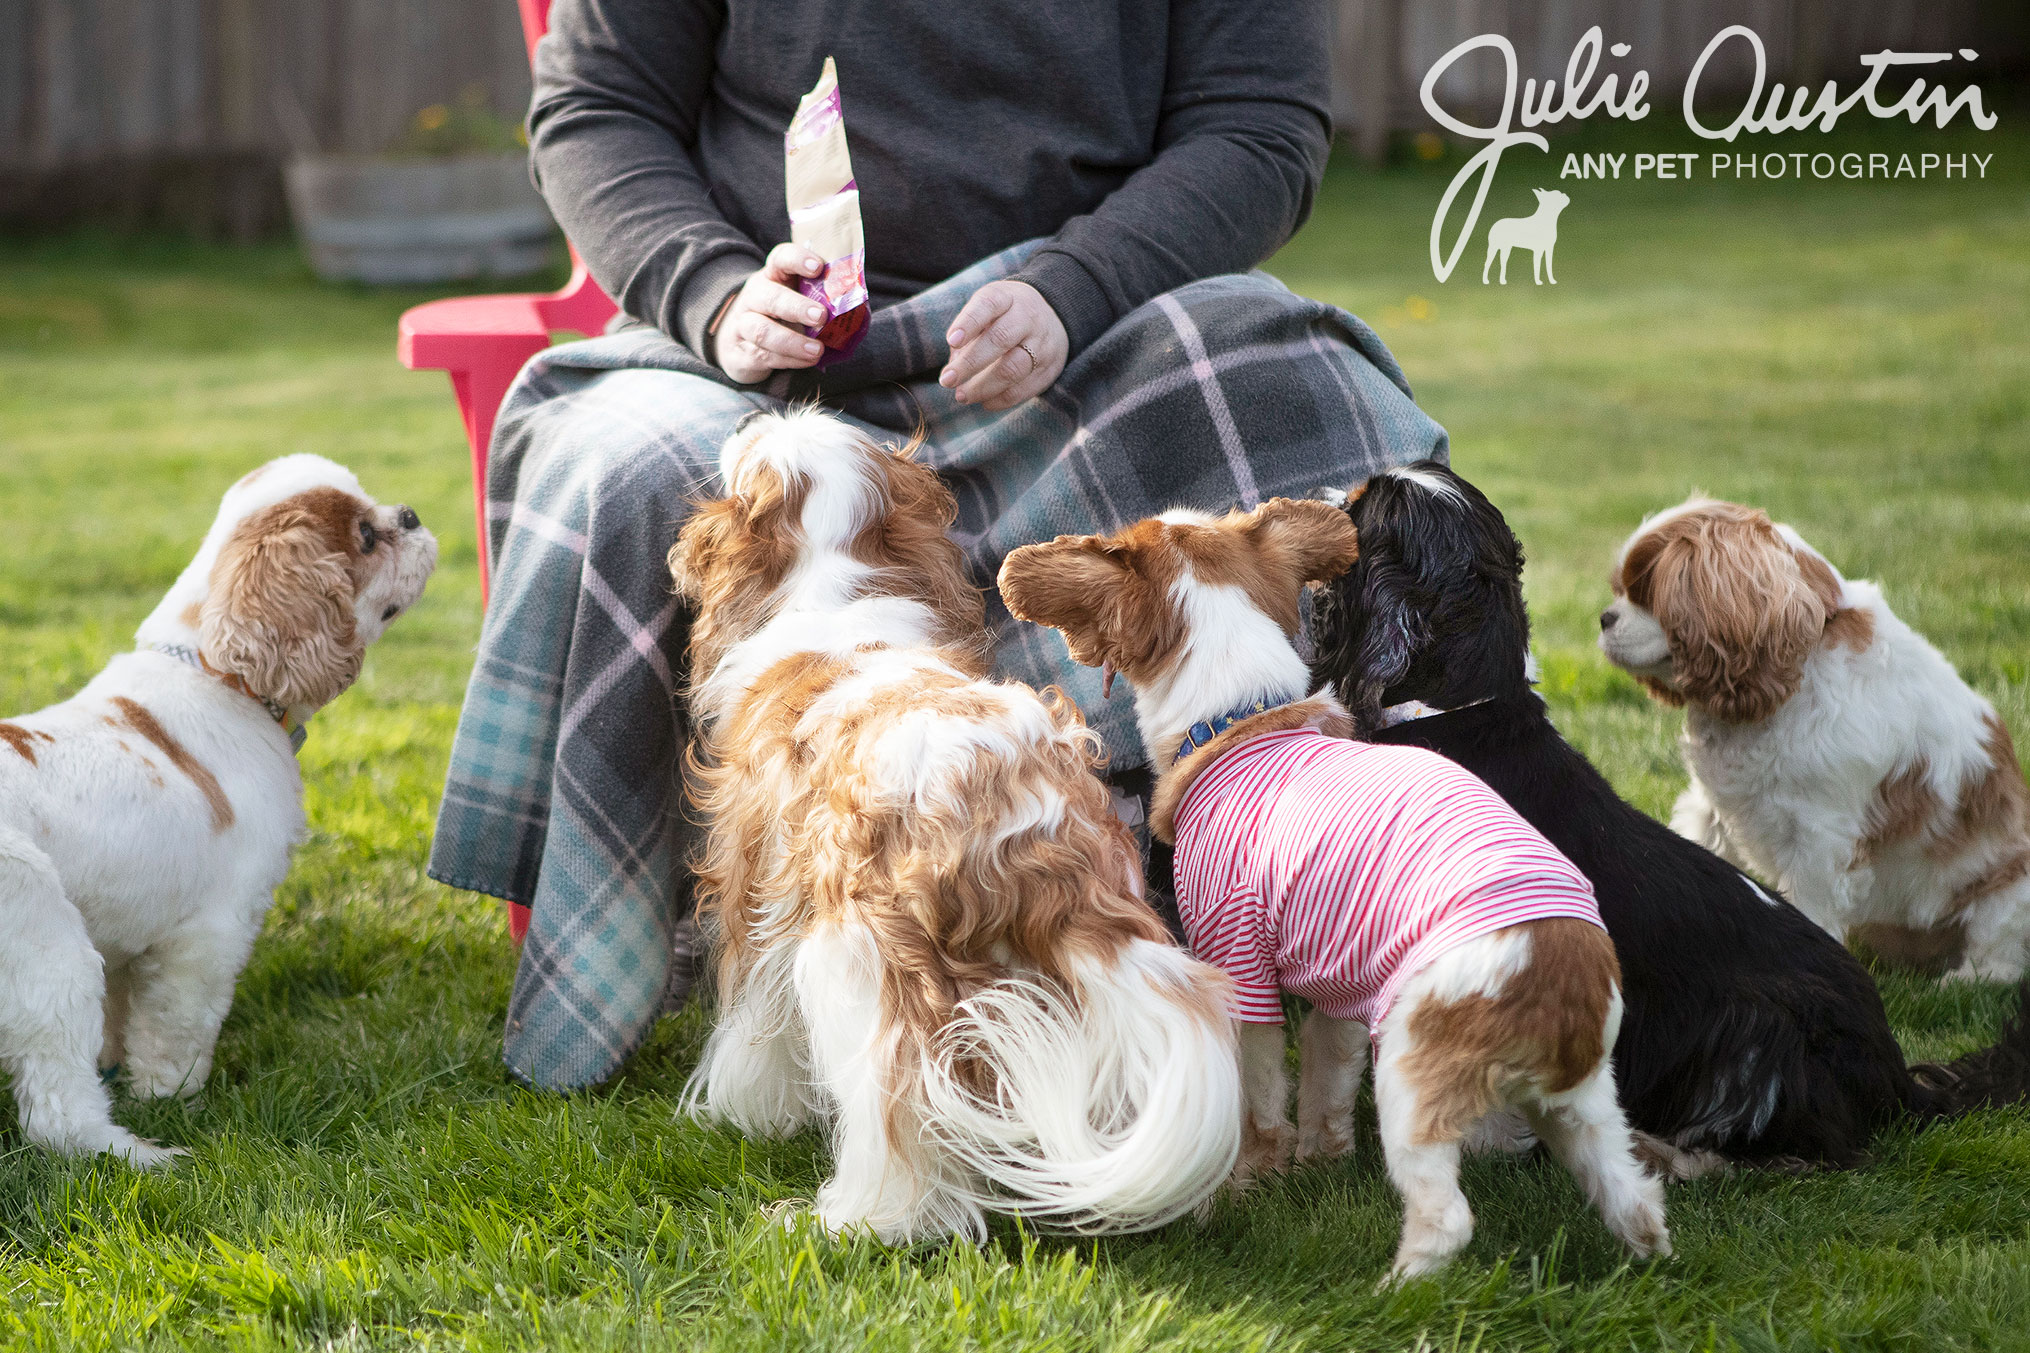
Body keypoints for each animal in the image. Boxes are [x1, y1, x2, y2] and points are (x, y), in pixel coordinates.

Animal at [0, 458, 432, 1168]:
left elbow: (124, 1021)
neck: (215, 669)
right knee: (58, 1114)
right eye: (367, 536)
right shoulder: (209, 934)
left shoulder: (133, 935)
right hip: (46, 940)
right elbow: (177, 1030)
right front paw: (172, 1099)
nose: (412, 515)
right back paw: (144, 1156)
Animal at [669, 413, 1234, 1249]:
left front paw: (751, 1113)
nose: (750, 416)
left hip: (860, 964)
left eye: (750, 458)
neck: (832, 594)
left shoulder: (759, 894)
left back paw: (857, 1220)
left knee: (894, 1119)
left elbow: (752, 1028)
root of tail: (1026, 813)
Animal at [998, 501, 1664, 1282]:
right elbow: (1324, 1084)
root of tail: (1556, 969)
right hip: (1586, 1107)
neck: (1240, 717)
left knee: (1448, 1216)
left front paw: (1250, 1184)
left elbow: (1260, 1102)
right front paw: (1319, 1162)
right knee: (1634, 1196)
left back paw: (1399, 1285)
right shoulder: (1339, 985)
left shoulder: (1239, 964)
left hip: (1412, 1075)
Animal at [1599, 496, 2030, 985]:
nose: (1604, 618)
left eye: (1644, 589)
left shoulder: (1819, 841)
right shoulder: (1710, 810)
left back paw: (1961, 980)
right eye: (1621, 589)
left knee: (2000, 959)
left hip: (2008, 893)